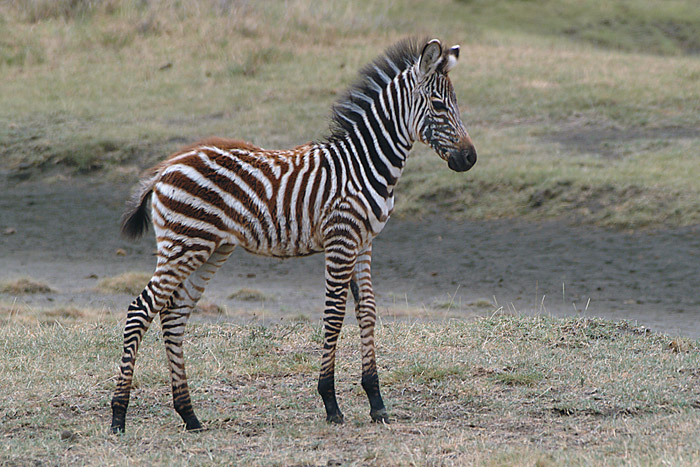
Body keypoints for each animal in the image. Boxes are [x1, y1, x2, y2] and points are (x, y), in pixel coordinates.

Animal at [110, 37, 476, 436]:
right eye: (439, 105)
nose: (470, 159)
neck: (364, 164)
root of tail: (166, 166)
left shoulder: (364, 243)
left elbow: (367, 312)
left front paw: (376, 402)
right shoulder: (341, 239)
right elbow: (334, 314)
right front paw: (331, 403)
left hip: (210, 249)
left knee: (173, 316)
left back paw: (189, 415)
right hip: (184, 245)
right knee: (140, 309)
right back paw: (118, 416)